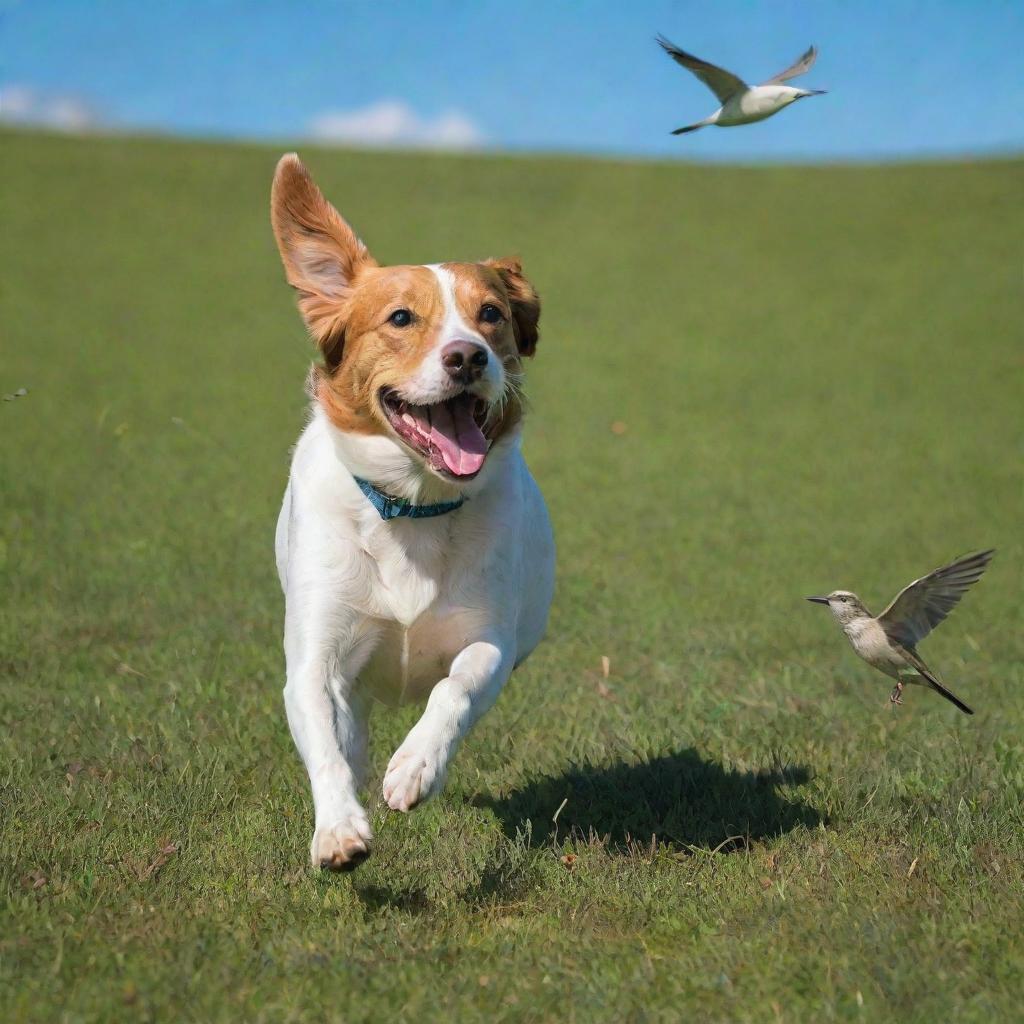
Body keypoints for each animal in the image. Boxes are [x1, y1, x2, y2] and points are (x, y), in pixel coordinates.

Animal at [266, 155, 552, 868]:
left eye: (491, 314)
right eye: (400, 318)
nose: (468, 355)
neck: (413, 509)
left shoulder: (490, 641)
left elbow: (455, 689)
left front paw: (415, 768)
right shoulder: (314, 655)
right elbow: (326, 739)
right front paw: (339, 829)